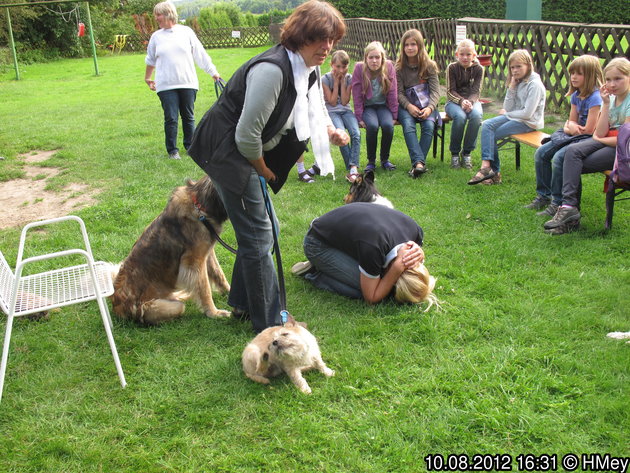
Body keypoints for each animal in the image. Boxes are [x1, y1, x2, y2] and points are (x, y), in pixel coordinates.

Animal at [110, 176, 232, 324]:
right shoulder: (194, 261)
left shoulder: (207, 253)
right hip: (167, 307)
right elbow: (204, 289)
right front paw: (214, 313)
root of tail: (116, 305)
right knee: (178, 304)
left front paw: (229, 292)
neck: (200, 207)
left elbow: (219, 274)